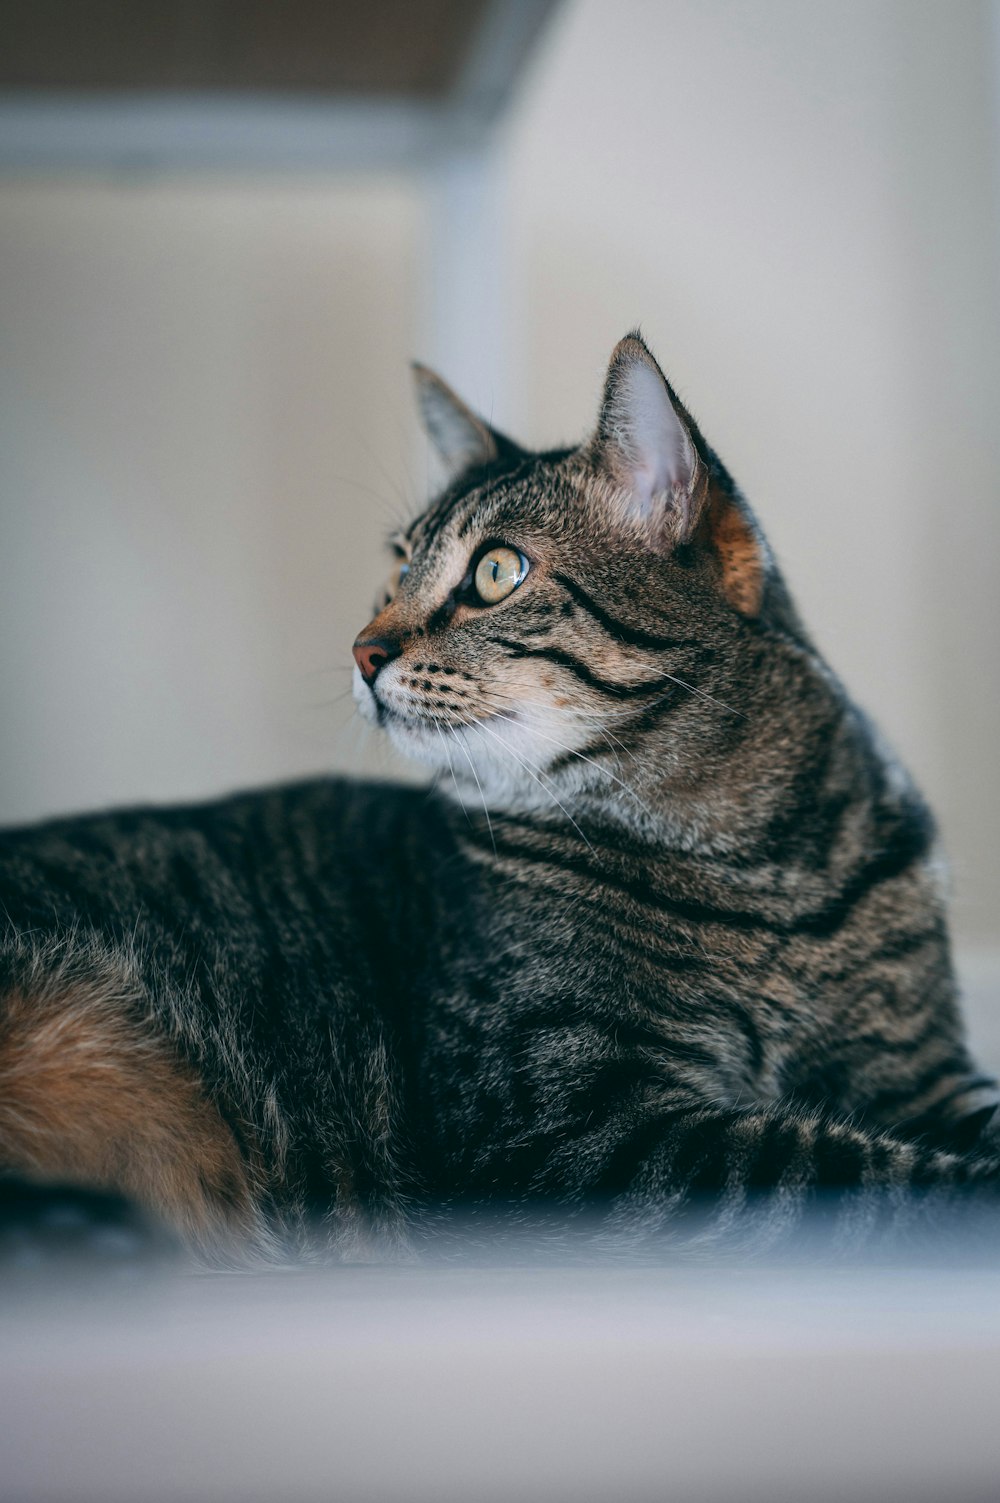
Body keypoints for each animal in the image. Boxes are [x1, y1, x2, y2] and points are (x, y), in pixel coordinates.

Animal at [1, 335, 998, 1262]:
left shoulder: (922, 1072)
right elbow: (855, 1172)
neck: (760, 870)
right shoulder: (577, 1123)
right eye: (397, 567)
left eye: (495, 571)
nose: (360, 649)